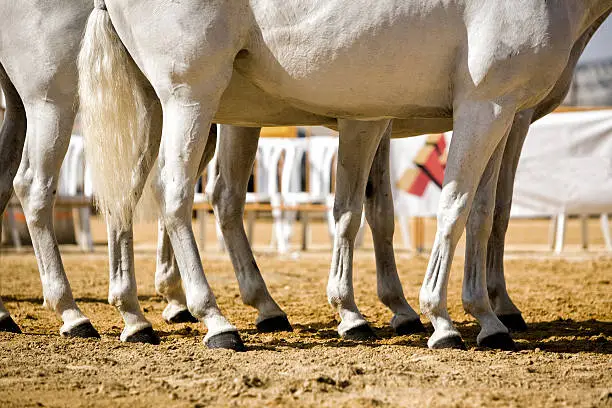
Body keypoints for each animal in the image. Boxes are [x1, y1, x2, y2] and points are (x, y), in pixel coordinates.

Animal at [76, 0, 612, 350]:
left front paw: (477, 312)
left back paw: (136, 316)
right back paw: (213, 320)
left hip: (156, 105)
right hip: (190, 96)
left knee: (133, 195)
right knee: (175, 195)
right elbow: (456, 208)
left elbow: (474, 213)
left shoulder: (476, 111)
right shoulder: (491, 106)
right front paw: (443, 318)